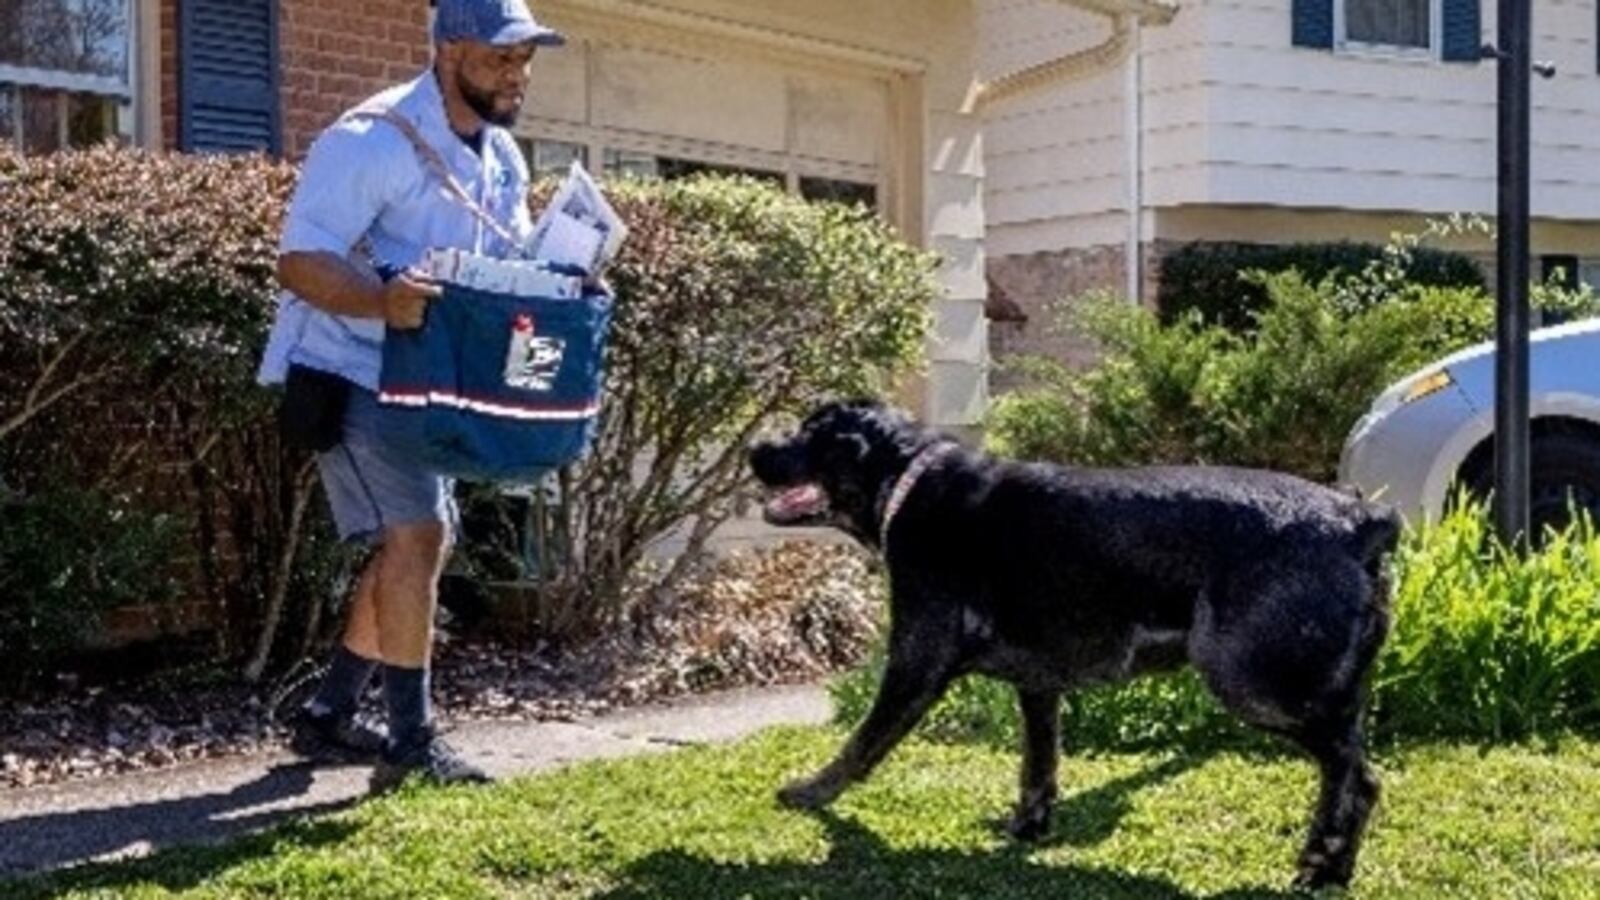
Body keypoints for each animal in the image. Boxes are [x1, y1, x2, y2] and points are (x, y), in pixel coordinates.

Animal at [748, 400, 1401, 890]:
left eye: (808, 435)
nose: (754, 449)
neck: (907, 482)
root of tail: (1361, 521)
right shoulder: (1039, 686)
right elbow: (1038, 766)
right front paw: (1028, 827)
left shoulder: (915, 663)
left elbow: (861, 743)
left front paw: (811, 792)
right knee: (1350, 774)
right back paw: (1332, 868)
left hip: (1255, 684)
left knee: (1357, 775)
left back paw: (1323, 865)